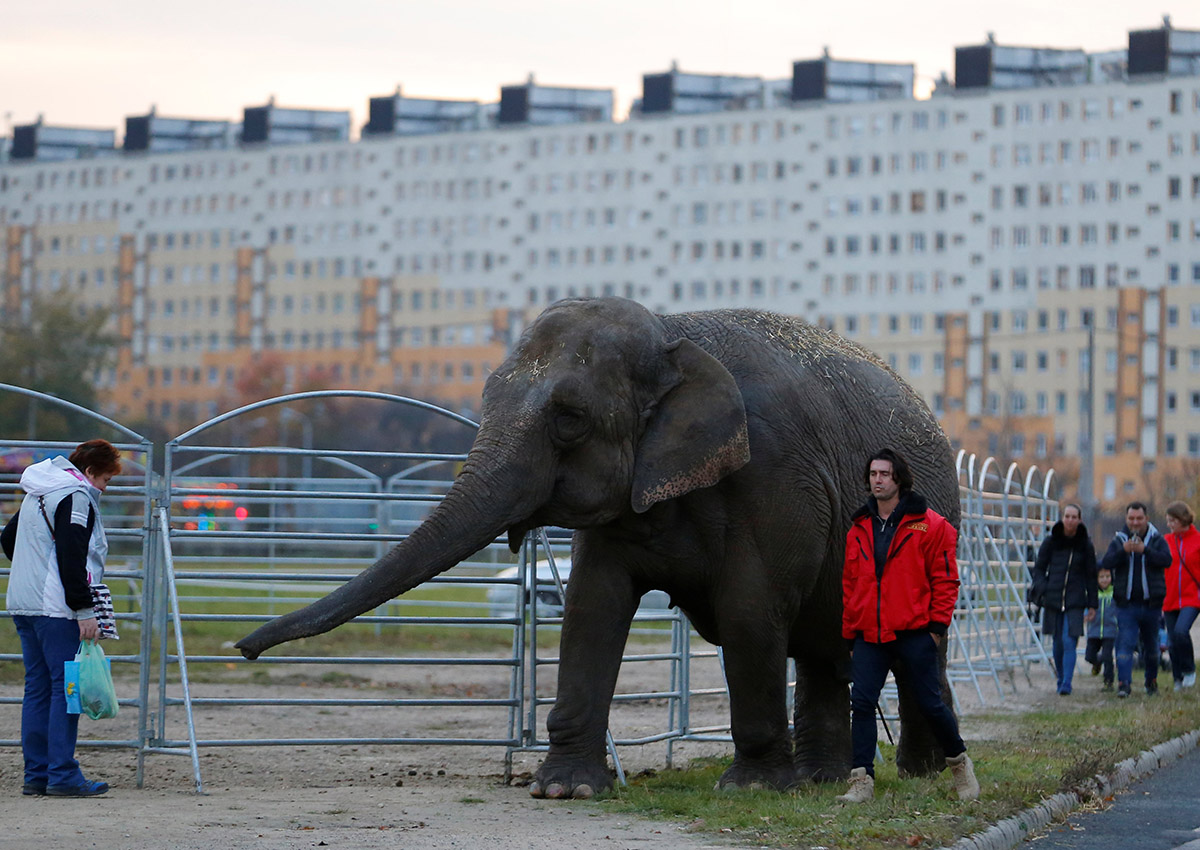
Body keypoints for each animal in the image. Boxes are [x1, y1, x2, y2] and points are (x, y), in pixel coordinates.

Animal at [237, 296, 961, 798]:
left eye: (569, 420)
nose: (242, 649)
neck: (673, 332)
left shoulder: (774, 473)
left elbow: (749, 611)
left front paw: (750, 790)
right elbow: (592, 606)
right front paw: (564, 789)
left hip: (938, 526)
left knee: (916, 649)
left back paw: (921, 775)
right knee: (823, 650)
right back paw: (822, 780)